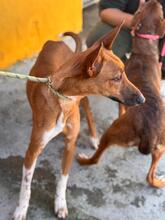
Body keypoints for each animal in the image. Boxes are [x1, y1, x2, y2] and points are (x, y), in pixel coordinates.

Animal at [12, 22, 144, 220]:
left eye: (125, 74)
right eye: (117, 78)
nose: (143, 99)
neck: (63, 101)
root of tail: (58, 43)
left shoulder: (70, 143)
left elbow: (63, 179)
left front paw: (60, 204)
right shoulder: (33, 150)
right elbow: (26, 186)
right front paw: (21, 209)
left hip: (85, 100)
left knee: (89, 114)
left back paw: (94, 138)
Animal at [77, 0, 165, 187]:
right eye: (157, 8)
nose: (155, 1)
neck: (145, 52)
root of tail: (149, 134)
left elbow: (121, 106)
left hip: (112, 132)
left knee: (96, 158)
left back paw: (83, 160)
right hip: (161, 148)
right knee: (150, 176)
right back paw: (160, 182)